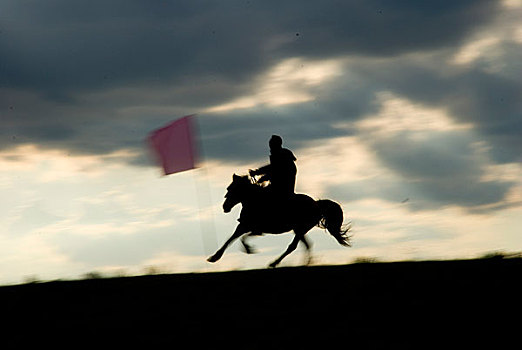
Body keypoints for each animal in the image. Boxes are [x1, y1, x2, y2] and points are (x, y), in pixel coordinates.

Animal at [206, 174, 350, 268]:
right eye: (228, 188)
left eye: (232, 189)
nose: (225, 207)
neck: (254, 201)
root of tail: (316, 204)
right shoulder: (245, 226)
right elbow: (232, 239)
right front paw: (214, 257)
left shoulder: (252, 228)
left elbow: (238, 238)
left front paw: (248, 249)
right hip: (299, 230)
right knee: (307, 245)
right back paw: (306, 263)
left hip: (301, 229)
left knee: (293, 246)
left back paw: (274, 263)